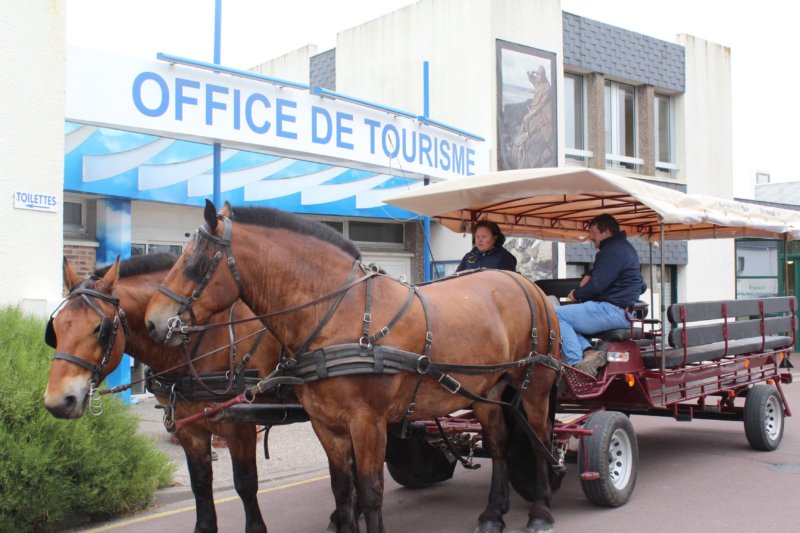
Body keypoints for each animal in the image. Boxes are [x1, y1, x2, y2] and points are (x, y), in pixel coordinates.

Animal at [43, 254, 284, 532]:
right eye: (55, 328)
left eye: (98, 329)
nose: (58, 401)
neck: (202, 335)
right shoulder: (189, 428)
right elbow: (200, 487)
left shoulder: (239, 426)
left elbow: (246, 485)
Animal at [147, 201, 564, 532]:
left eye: (195, 262)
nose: (154, 322)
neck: (338, 314)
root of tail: (526, 284)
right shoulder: (326, 425)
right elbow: (343, 489)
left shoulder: (368, 422)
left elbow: (370, 491)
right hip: (486, 391)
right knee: (499, 444)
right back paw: (493, 513)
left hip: (536, 387)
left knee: (541, 441)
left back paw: (541, 511)